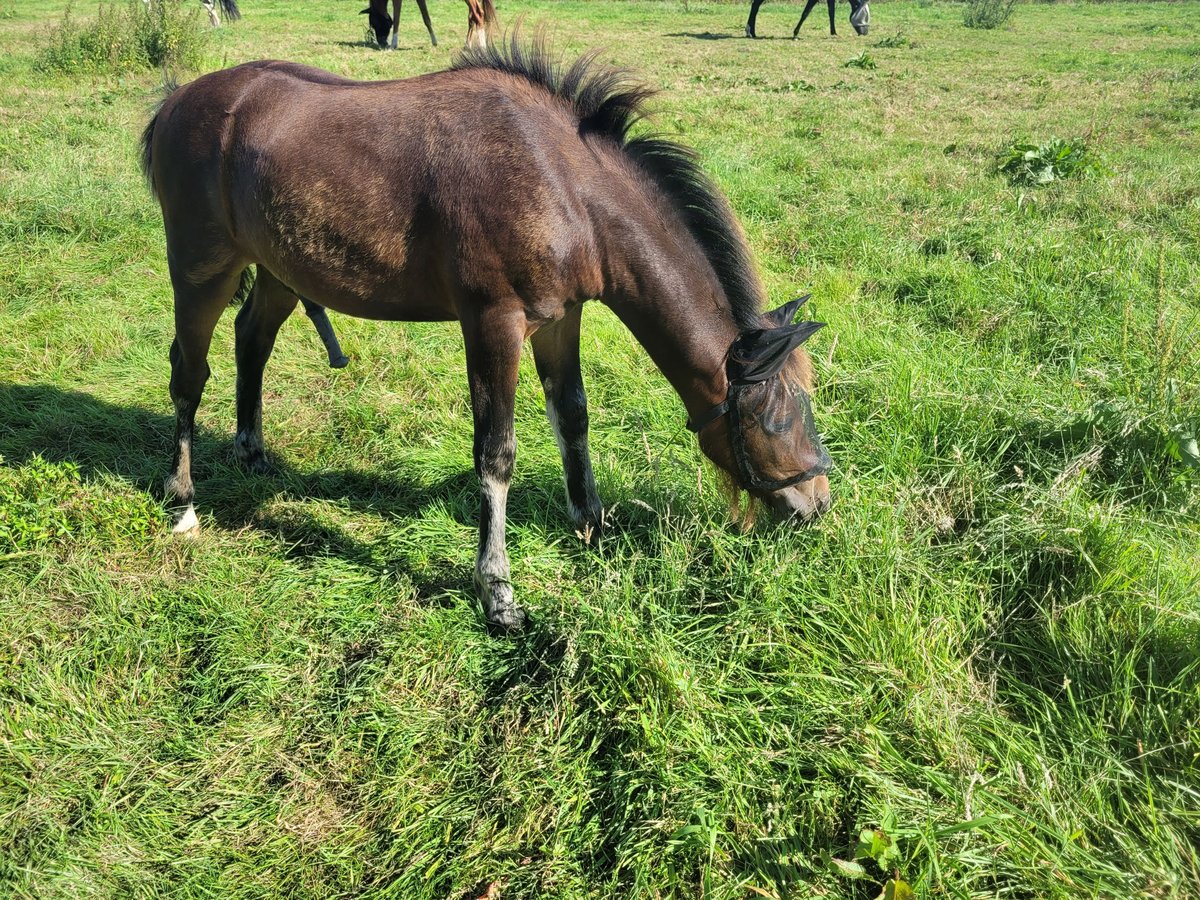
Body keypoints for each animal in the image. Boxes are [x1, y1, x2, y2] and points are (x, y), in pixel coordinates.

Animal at [138, 31, 835, 628]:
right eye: (775, 417)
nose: (819, 503)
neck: (564, 184)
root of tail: (175, 101)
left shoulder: (560, 320)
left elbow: (573, 416)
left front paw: (590, 524)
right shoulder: (494, 323)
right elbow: (496, 453)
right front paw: (497, 590)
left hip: (280, 269)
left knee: (251, 341)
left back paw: (252, 450)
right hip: (202, 270)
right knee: (188, 373)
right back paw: (183, 499)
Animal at [362, 0, 499, 50]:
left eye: (374, 24)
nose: (382, 43)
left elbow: (397, 20)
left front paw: (393, 44)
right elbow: (426, 18)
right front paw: (434, 42)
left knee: (478, 14)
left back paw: (482, 46)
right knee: (472, 17)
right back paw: (467, 45)